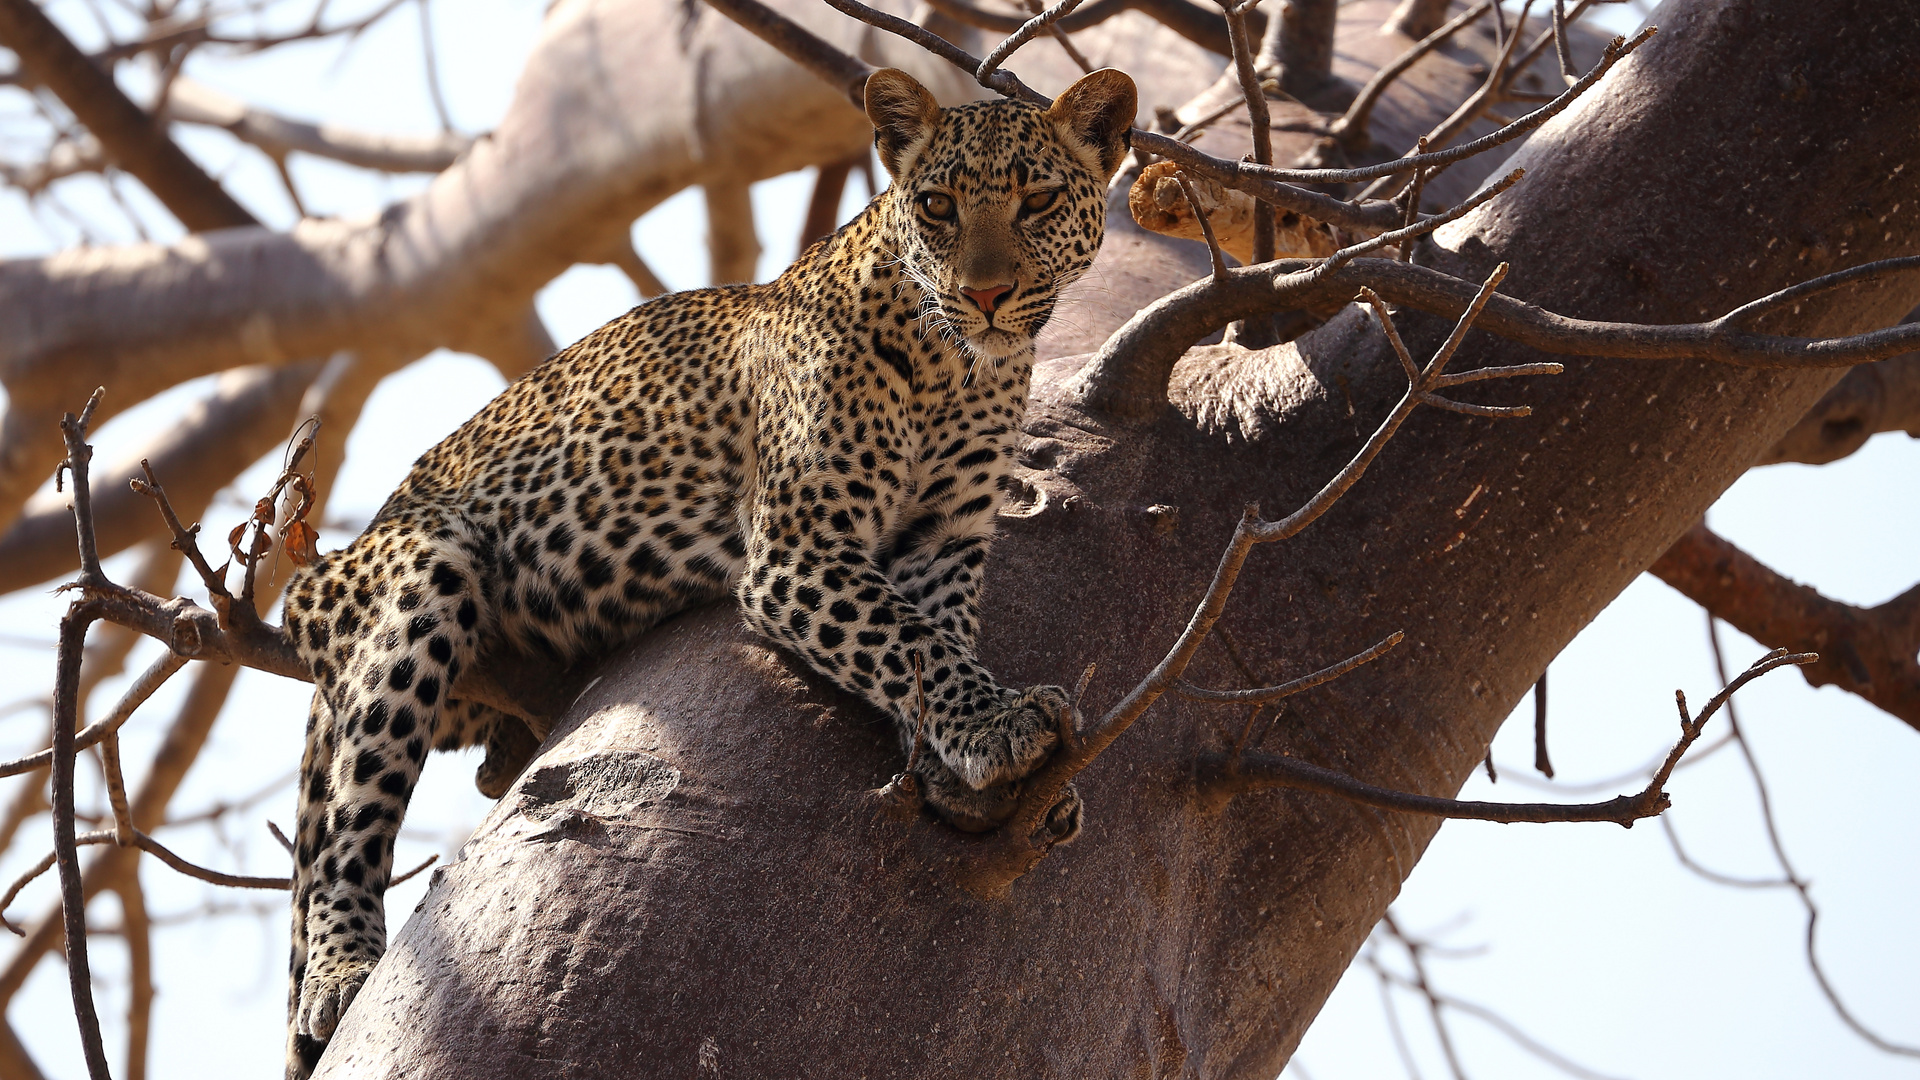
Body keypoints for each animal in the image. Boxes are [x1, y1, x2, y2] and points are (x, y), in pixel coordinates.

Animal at [276, 65, 1128, 1068]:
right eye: (938, 207)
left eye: (1038, 202)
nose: (989, 295)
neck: (959, 369)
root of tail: (325, 570)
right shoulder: (801, 548)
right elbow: (910, 642)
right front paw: (997, 725)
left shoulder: (942, 543)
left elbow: (934, 641)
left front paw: (963, 763)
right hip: (415, 572)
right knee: (347, 818)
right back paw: (341, 971)